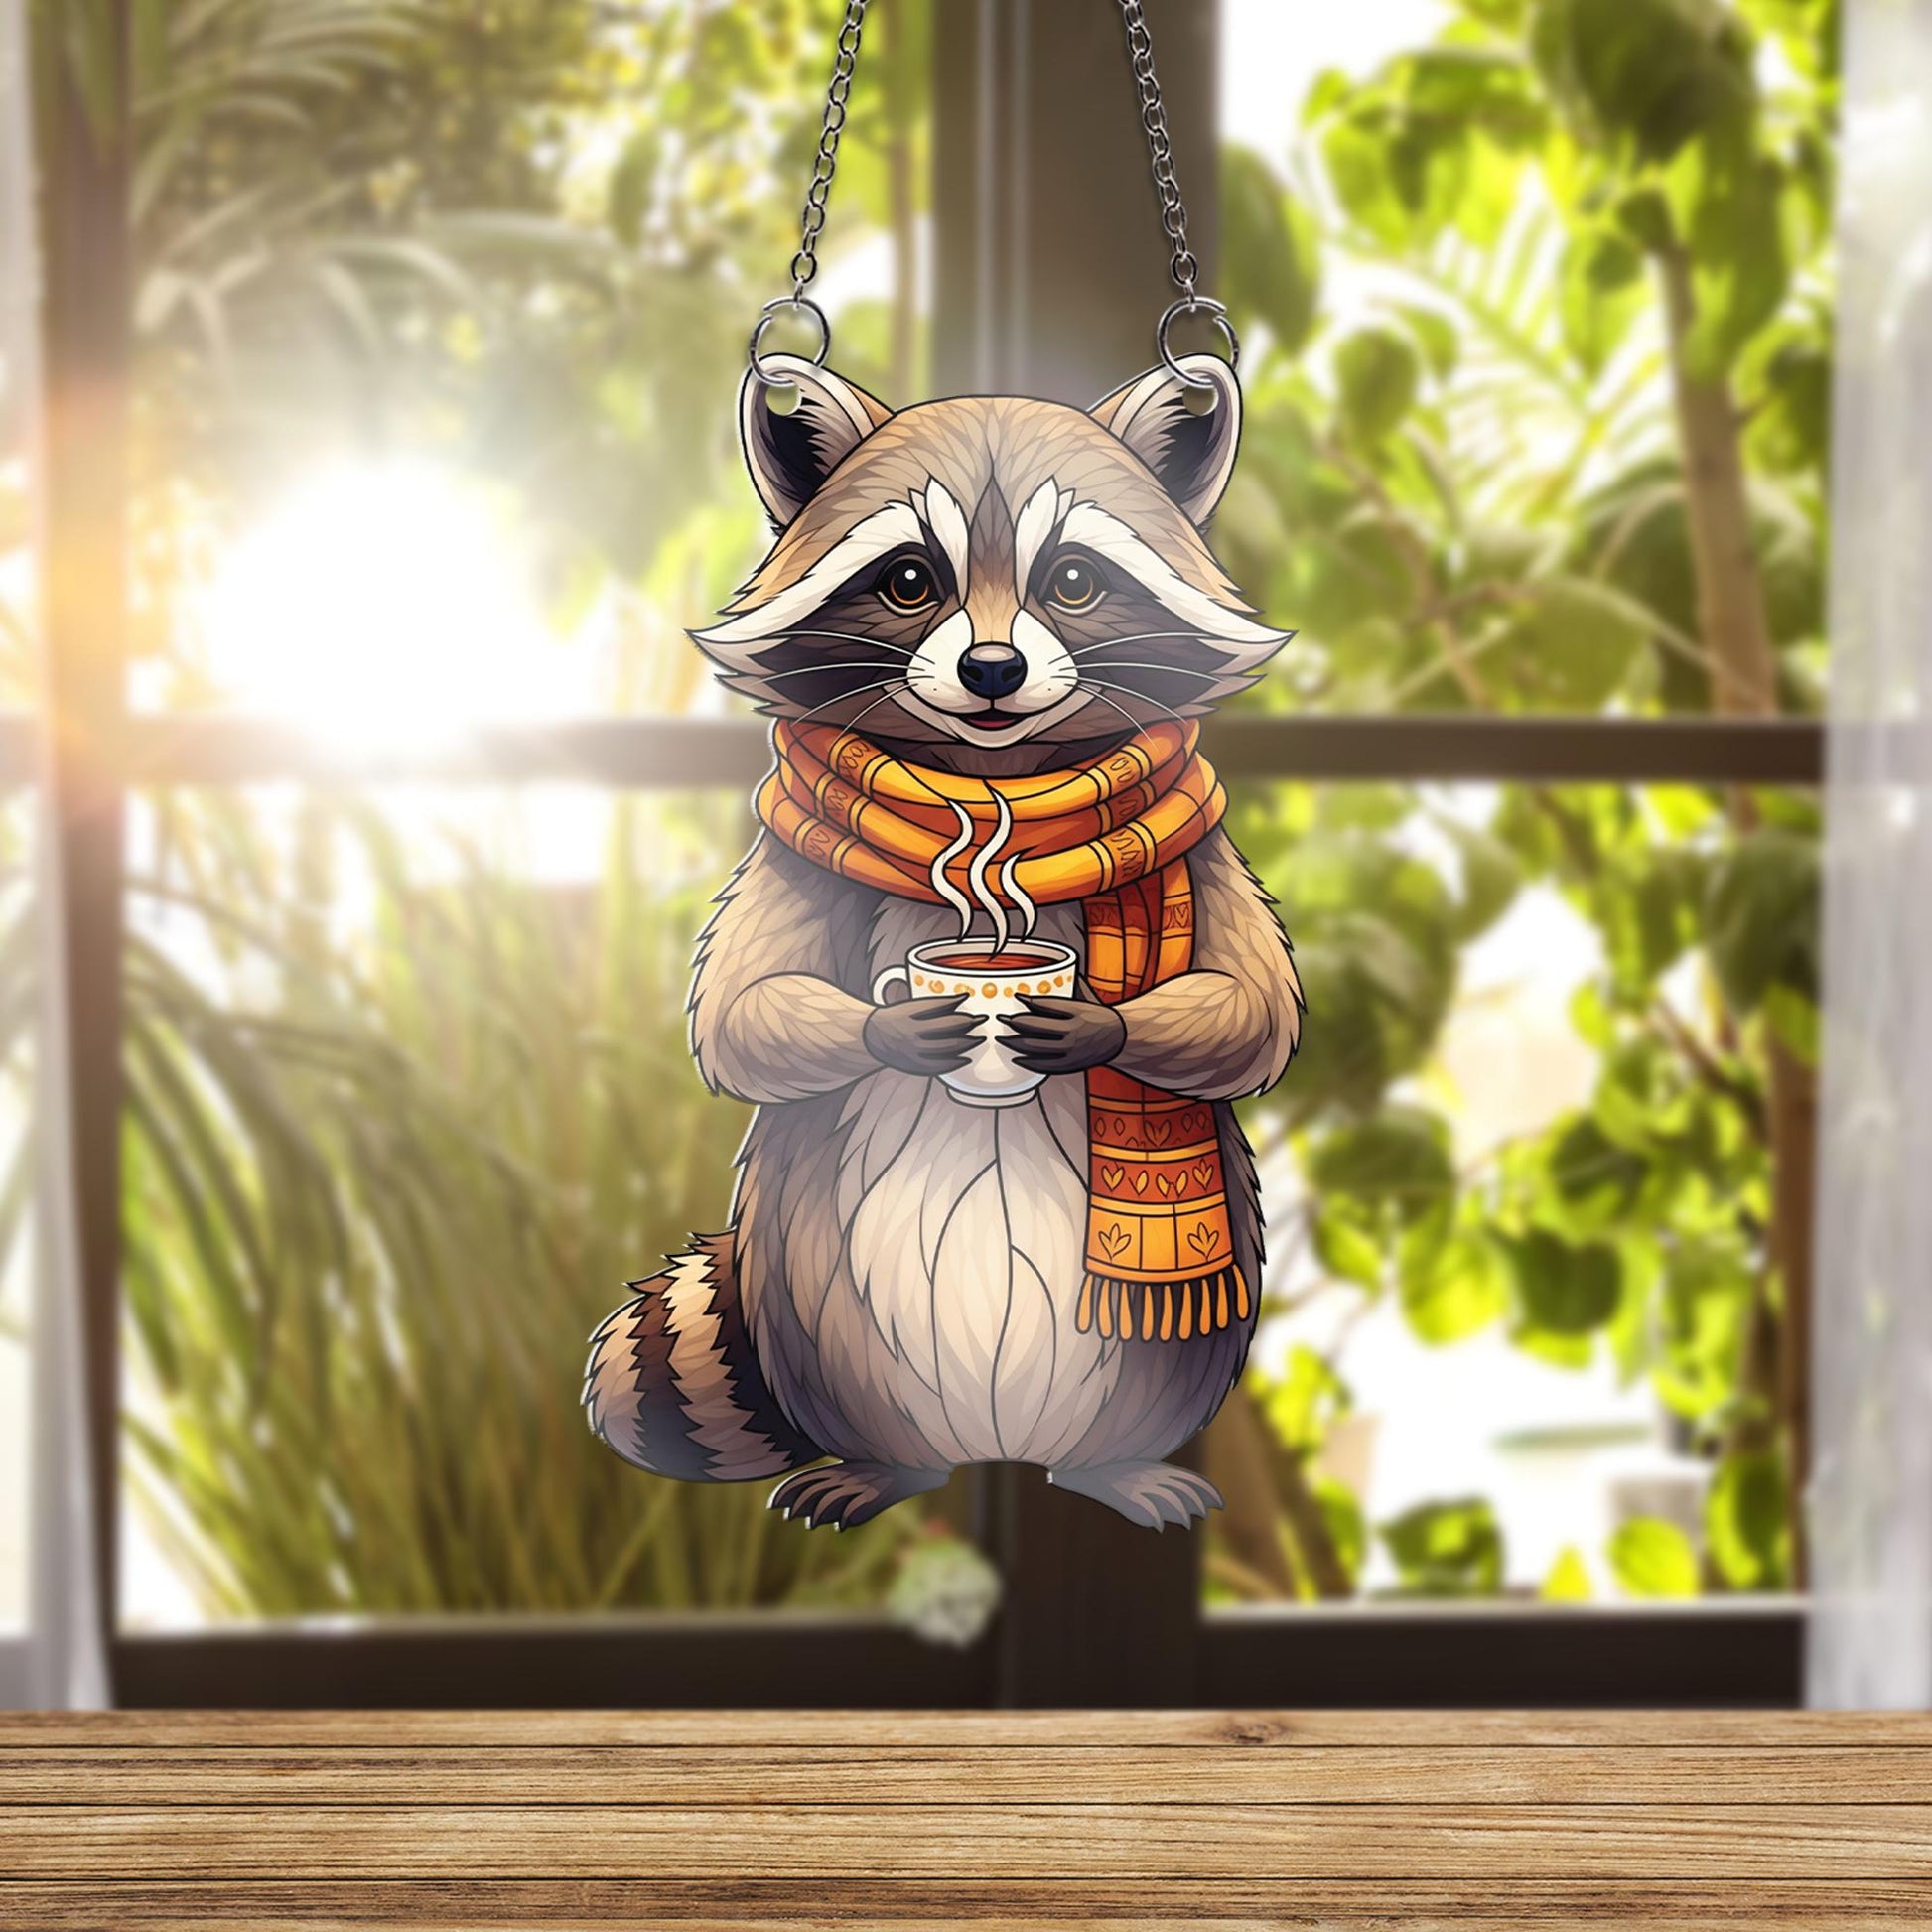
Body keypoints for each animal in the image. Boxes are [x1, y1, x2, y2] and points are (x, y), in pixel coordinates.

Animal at [585, 351, 1302, 1531]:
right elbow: (738, 1006)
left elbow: (1255, 1005)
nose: (993, 669)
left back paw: (1115, 1463)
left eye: (1072, 580)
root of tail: (991, 1445)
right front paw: (899, 1030)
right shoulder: (795, 849)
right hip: (812, 1304)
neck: (992, 795)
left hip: (1175, 1333)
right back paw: (883, 1465)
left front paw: (1094, 1025)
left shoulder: (1200, 848)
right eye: (911, 579)